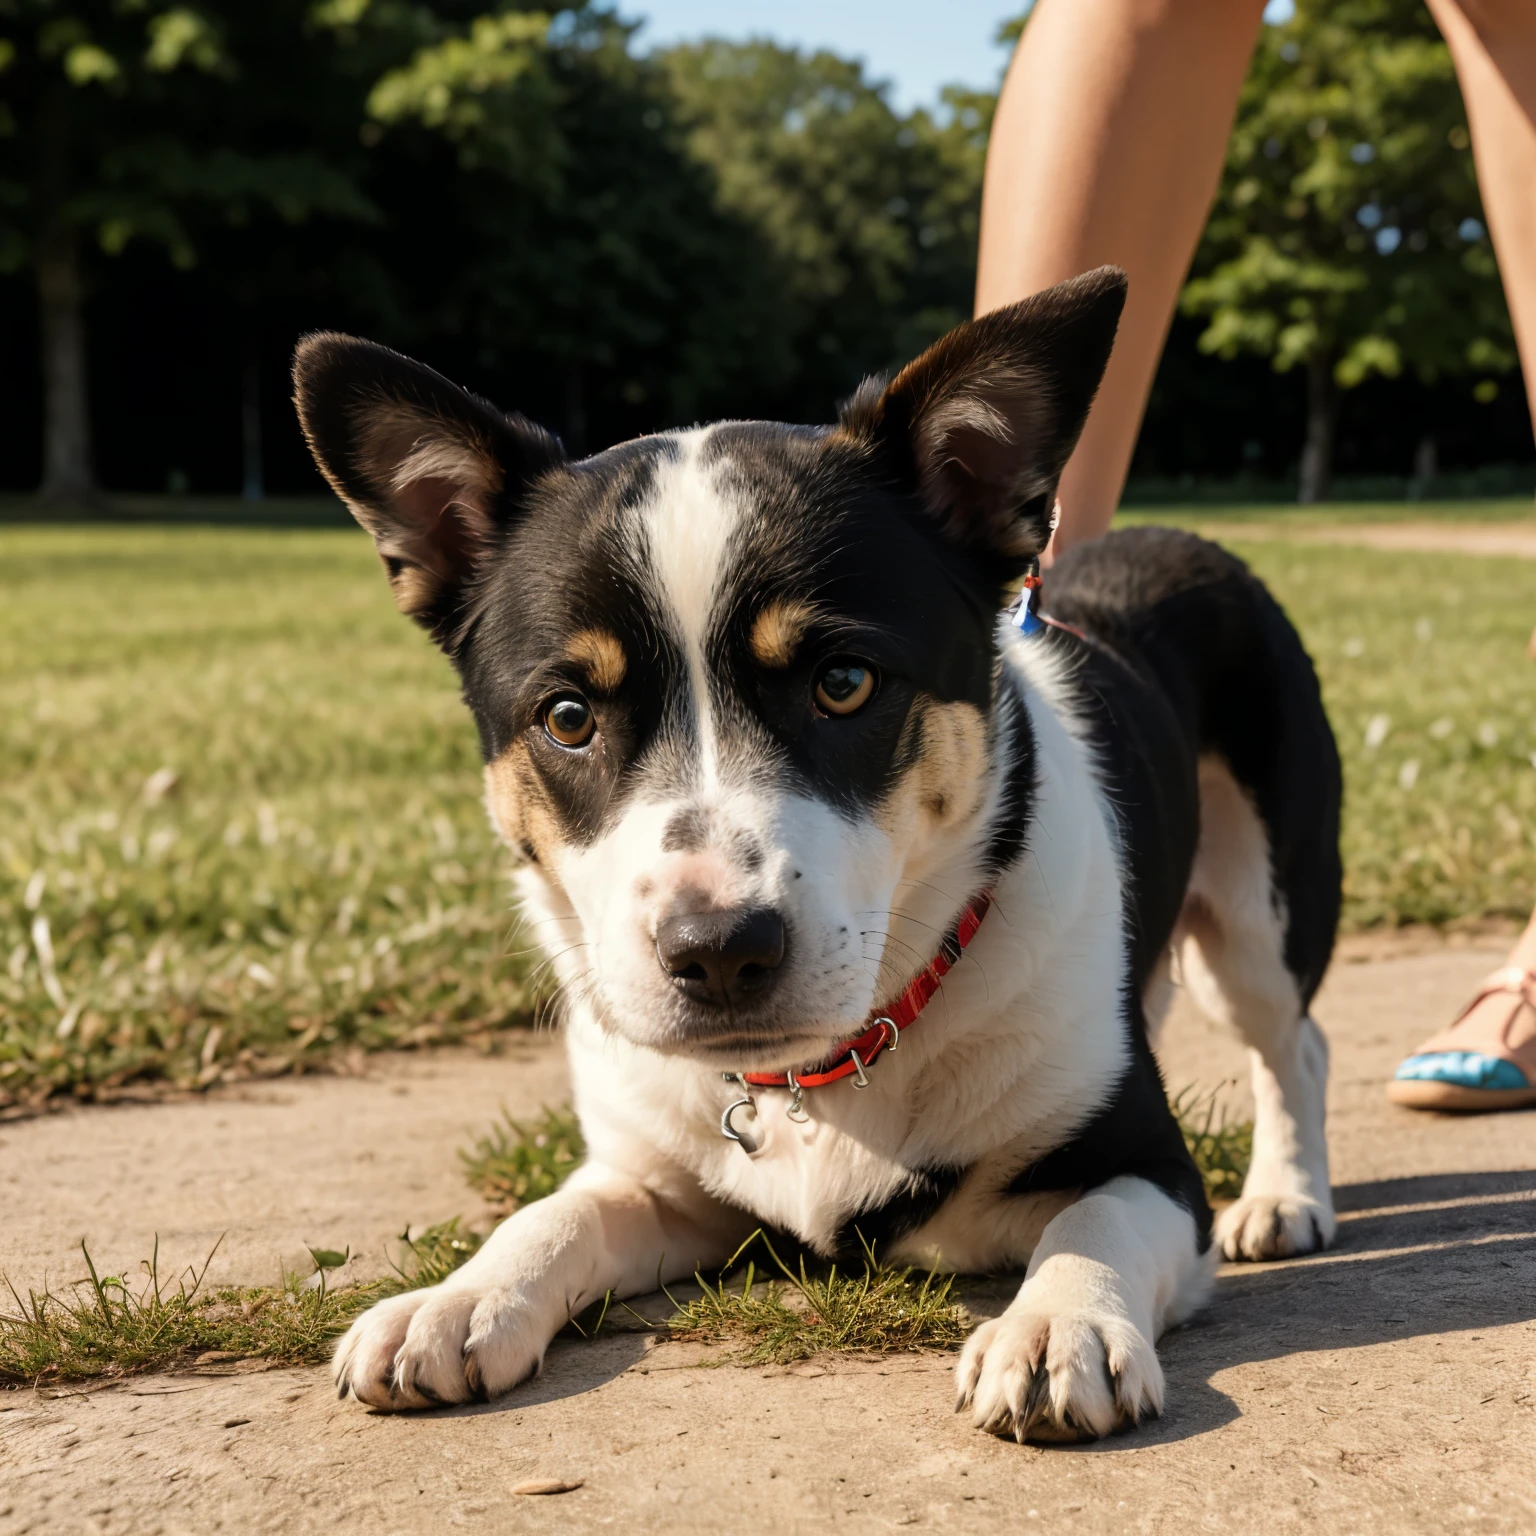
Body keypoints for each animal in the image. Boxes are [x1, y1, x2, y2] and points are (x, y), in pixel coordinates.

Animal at [293, 270, 1339, 1443]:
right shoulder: (662, 1189)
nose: (717, 952)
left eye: (843, 683)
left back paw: (1286, 1196)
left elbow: (1097, 1222)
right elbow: (557, 1215)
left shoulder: (1147, 1163)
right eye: (567, 717)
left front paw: (1055, 1323)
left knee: (1292, 1043)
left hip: (1256, 910)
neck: (824, 1068)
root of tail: (1181, 537)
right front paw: (458, 1297)